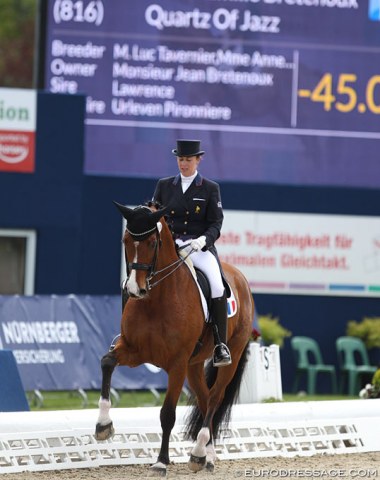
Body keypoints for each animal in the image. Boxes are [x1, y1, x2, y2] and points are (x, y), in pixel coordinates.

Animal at [95, 201, 255, 474]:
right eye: (125, 240)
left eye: (152, 243)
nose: (135, 290)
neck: (156, 300)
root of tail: (240, 278)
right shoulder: (134, 350)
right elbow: (107, 362)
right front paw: (103, 425)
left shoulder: (177, 363)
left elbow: (167, 414)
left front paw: (161, 461)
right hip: (194, 365)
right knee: (204, 399)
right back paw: (207, 456)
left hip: (229, 357)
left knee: (215, 397)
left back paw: (198, 453)